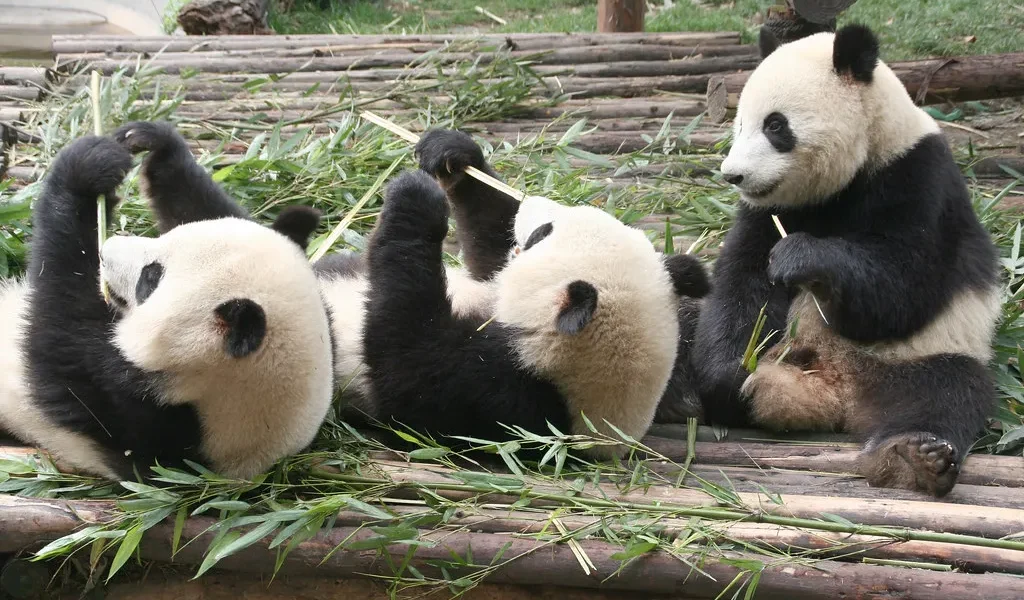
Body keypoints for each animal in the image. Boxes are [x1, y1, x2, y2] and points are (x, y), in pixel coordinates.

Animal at [0, 123, 335, 481]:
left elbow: (58, 330)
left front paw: (83, 170)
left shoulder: (137, 413)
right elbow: (199, 205)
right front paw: (146, 142)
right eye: (164, 239)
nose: (107, 249)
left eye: (150, 278)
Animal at [691, 24, 1001, 496]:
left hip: (922, 355)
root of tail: (835, 391)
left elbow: (902, 287)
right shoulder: (766, 211)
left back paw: (914, 459)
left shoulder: (917, 178)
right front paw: (730, 378)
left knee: (947, 392)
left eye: (776, 125)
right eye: (739, 122)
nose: (734, 175)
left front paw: (800, 256)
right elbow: (741, 285)